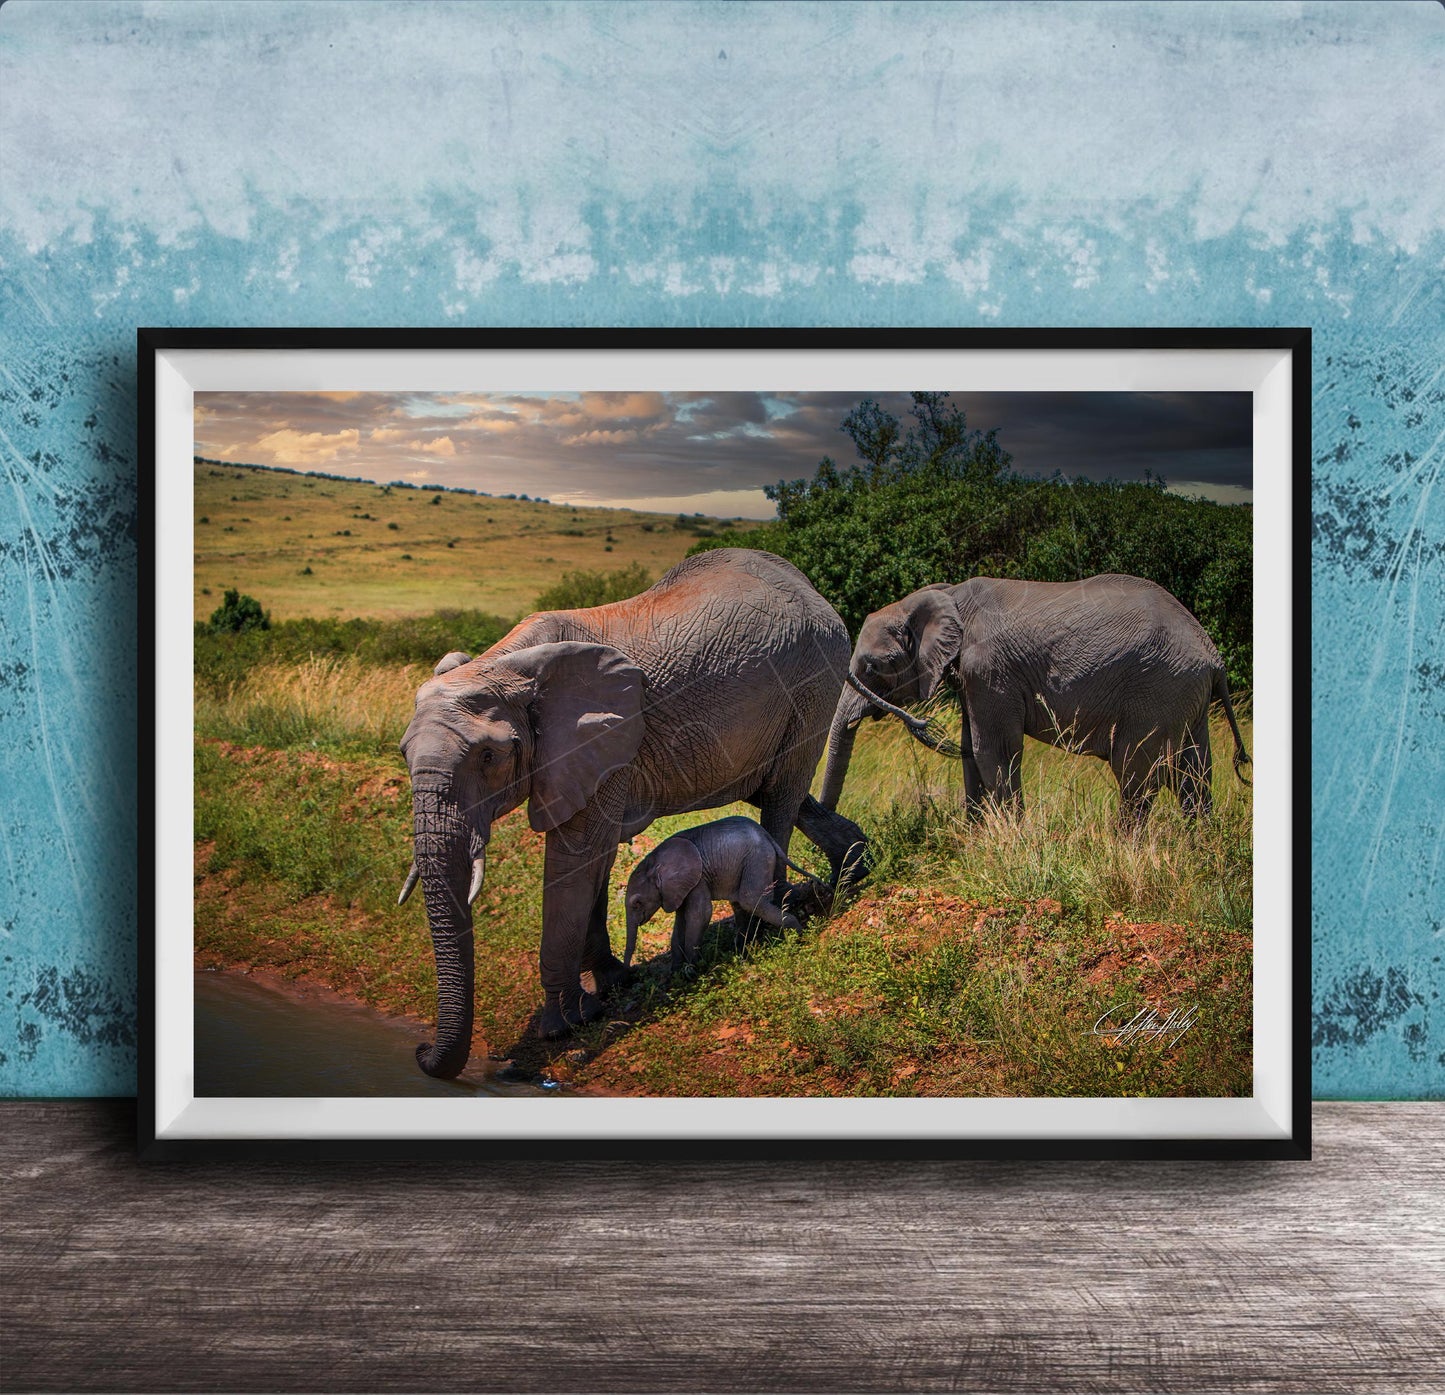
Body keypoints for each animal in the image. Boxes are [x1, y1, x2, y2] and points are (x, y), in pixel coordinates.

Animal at [623, 815, 805, 972]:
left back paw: (797, 934)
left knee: (750, 901)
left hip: (758, 857)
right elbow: (680, 921)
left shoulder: (698, 879)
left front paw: (692, 971)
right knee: (740, 905)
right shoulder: (677, 889)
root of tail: (766, 835)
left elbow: (700, 914)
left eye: (637, 903)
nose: (630, 972)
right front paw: (675, 974)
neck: (654, 861)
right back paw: (741, 951)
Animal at [819, 573, 1250, 829]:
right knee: (1194, 773)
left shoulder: (990, 670)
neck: (947, 595)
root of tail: (1214, 657)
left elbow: (992, 749)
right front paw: (976, 839)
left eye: (874, 666)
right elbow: (972, 752)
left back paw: (1127, 846)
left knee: (1136, 772)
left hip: (1159, 689)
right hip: (1186, 697)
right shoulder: (975, 678)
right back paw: (1197, 847)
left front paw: (1010, 837)